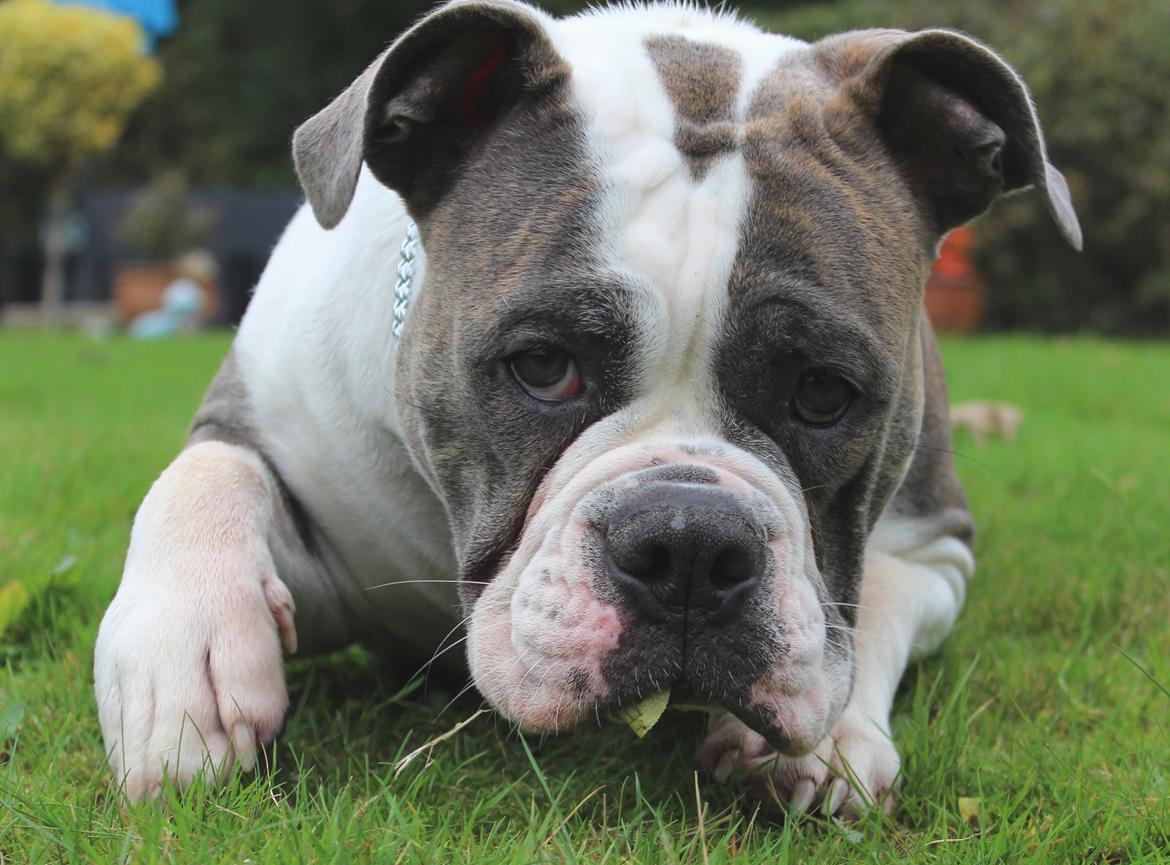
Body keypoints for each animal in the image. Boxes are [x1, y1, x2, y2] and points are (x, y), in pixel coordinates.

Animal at [91, 0, 1076, 809]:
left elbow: (869, 604)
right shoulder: (279, 439)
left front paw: (831, 739)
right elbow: (205, 477)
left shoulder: (933, 539)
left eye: (824, 392)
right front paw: (185, 661)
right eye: (542, 366)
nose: (690, 543)